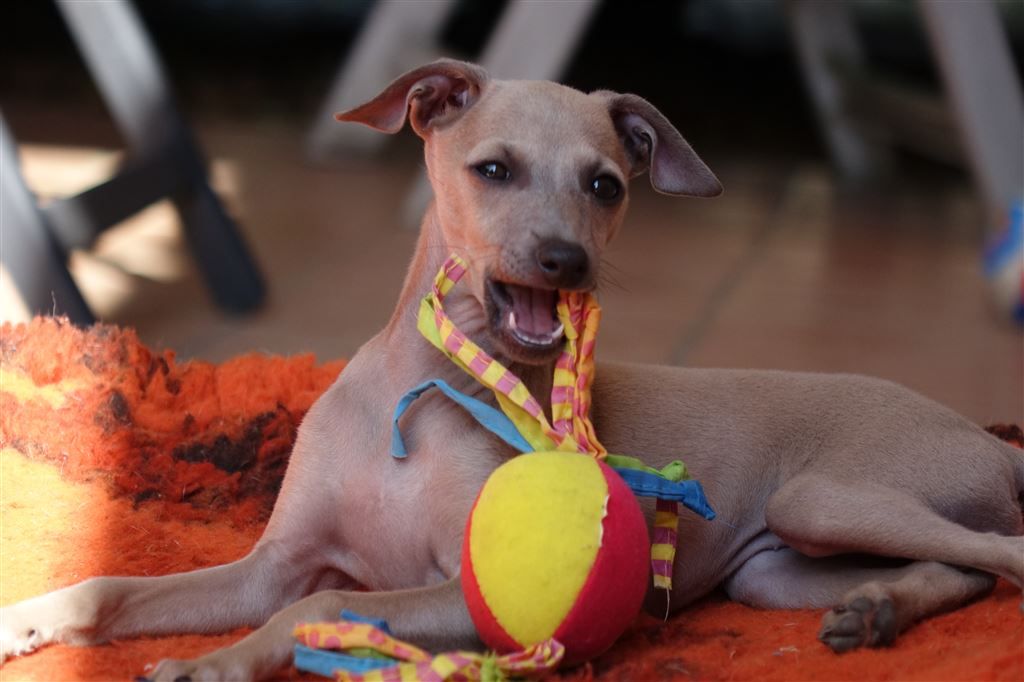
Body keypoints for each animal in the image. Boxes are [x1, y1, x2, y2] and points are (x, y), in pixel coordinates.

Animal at [2, 58, 1024, 679]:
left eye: (606, 185)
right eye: (493, 169)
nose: (566, 262)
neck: (420, 400)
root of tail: (986, 438)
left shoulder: (467, 594)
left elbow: (319, 604)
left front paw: (214, 662)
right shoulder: (267, 566)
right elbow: (119, 588)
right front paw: (33, 618)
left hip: (822, 498)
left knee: (1000, 557)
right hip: (772, 570)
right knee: (957, 570)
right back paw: (874, 610)